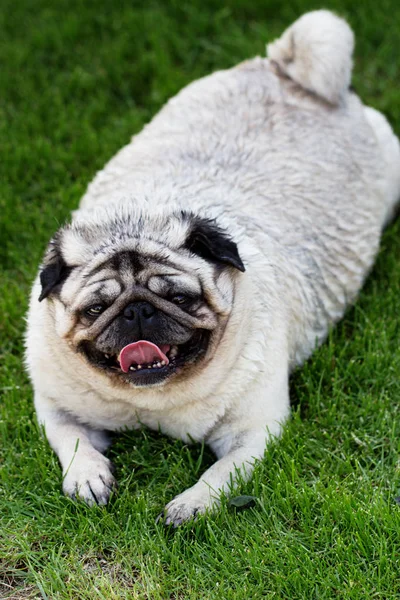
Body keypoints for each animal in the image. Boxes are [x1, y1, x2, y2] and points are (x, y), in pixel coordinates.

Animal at [25, 10, 400, 524]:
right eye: (96, 309)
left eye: (180, 298)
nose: (137, 311)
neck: (151, 400)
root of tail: (285, 69)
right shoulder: (55, 405)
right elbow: (73, 439)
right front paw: (87, 475)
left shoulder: (255, 432)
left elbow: (223, 474)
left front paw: (193, 504)